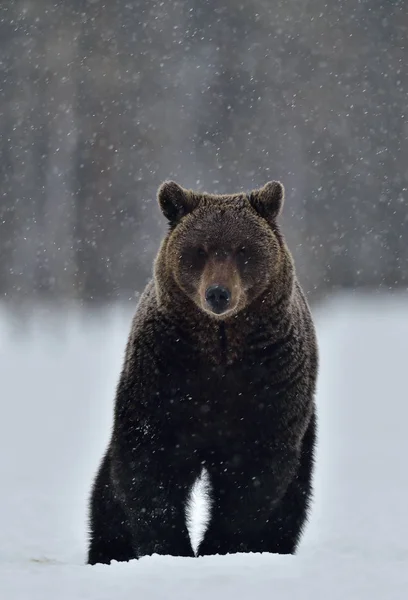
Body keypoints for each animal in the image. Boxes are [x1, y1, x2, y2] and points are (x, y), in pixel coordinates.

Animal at [87, 180, 318, 564]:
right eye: (199, 250)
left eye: (243, 250)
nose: (218, 294)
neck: (220, 349)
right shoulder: (166, 373)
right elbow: (149, 464)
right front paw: (170, 548)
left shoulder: (270, 382)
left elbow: (253, 478)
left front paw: (221, 546)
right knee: (109, 491)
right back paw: (108, 551)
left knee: (293, 494)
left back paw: (274, 546)